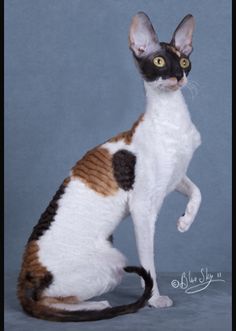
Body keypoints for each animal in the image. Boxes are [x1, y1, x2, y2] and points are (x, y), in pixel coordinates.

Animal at [17, 11, 201, 322]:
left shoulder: (175, 177)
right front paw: (154, 299)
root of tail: (23, 278)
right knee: (46, 301)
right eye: (159, 61)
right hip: (114, 262)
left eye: (184, 61)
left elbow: (198, 192)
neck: (173, 118)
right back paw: (98, 306)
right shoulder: (143, 206)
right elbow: (149, 261)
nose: (178, 75)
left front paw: (185, 221)